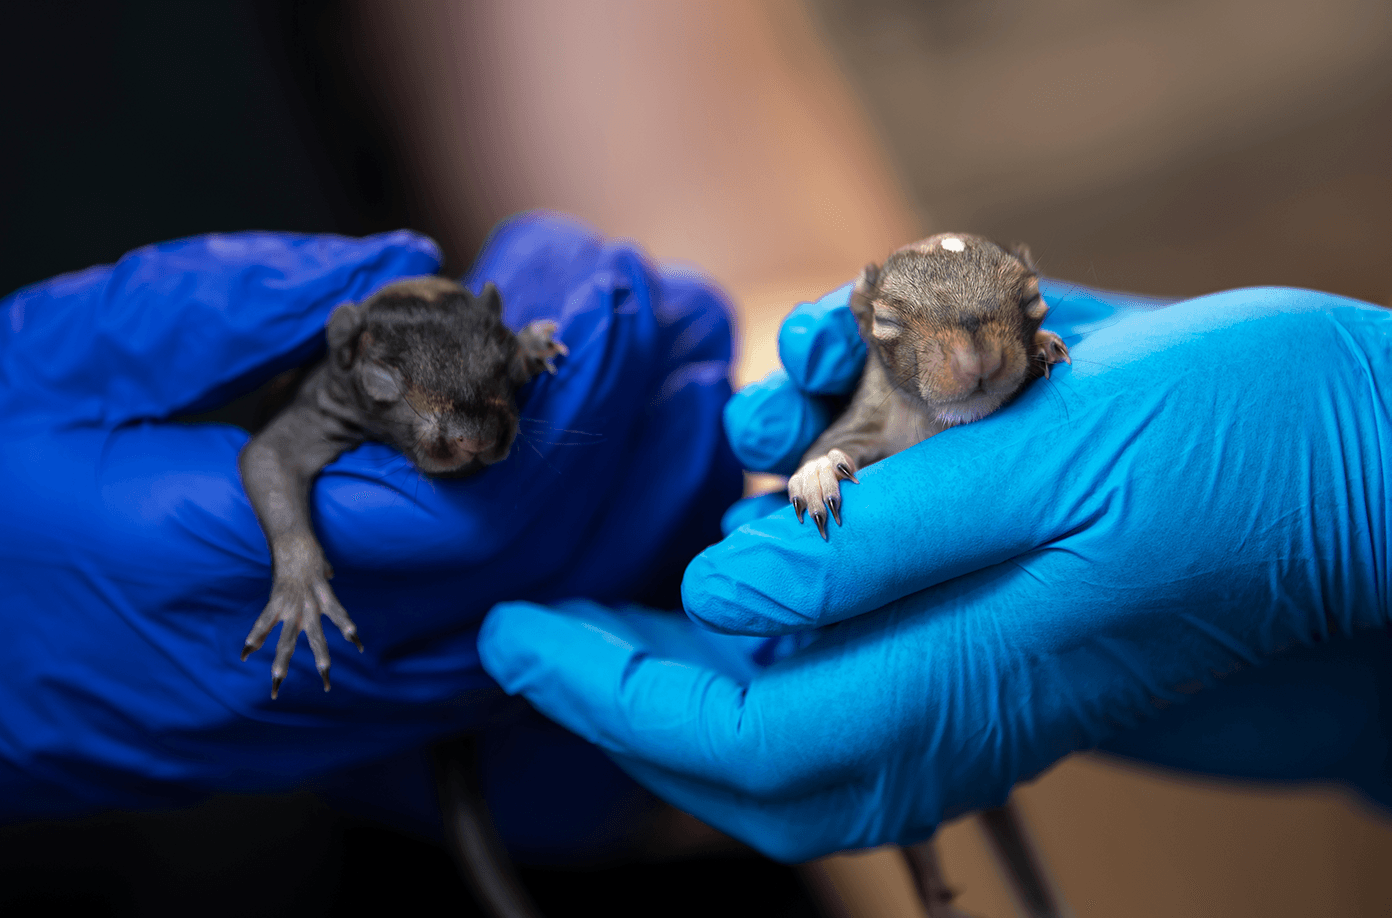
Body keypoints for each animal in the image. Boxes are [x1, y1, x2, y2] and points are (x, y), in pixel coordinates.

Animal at [239, 273, 565, 696]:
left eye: (505, 359)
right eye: (384, 377)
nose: (475, 438)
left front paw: (532, 345)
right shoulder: (328, 402)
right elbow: (269, 456)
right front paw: (300, 590)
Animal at [790, 231, 1069, 537]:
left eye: (1033, 299)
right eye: (884, 320)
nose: (976, 360)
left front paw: (1042, 345)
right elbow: (825, 446)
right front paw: (818, 470)